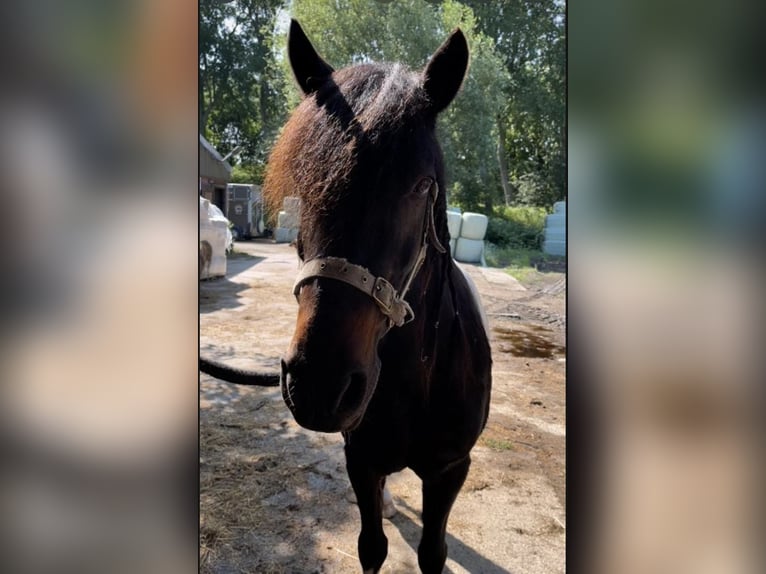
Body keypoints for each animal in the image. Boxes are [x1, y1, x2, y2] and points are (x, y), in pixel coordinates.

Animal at [201, 19, 496, 574]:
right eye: (305, 183)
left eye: (421, 185)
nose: (320, 386)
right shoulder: (360, 459)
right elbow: (372, 546)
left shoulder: (450, 470)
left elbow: (433, 552)